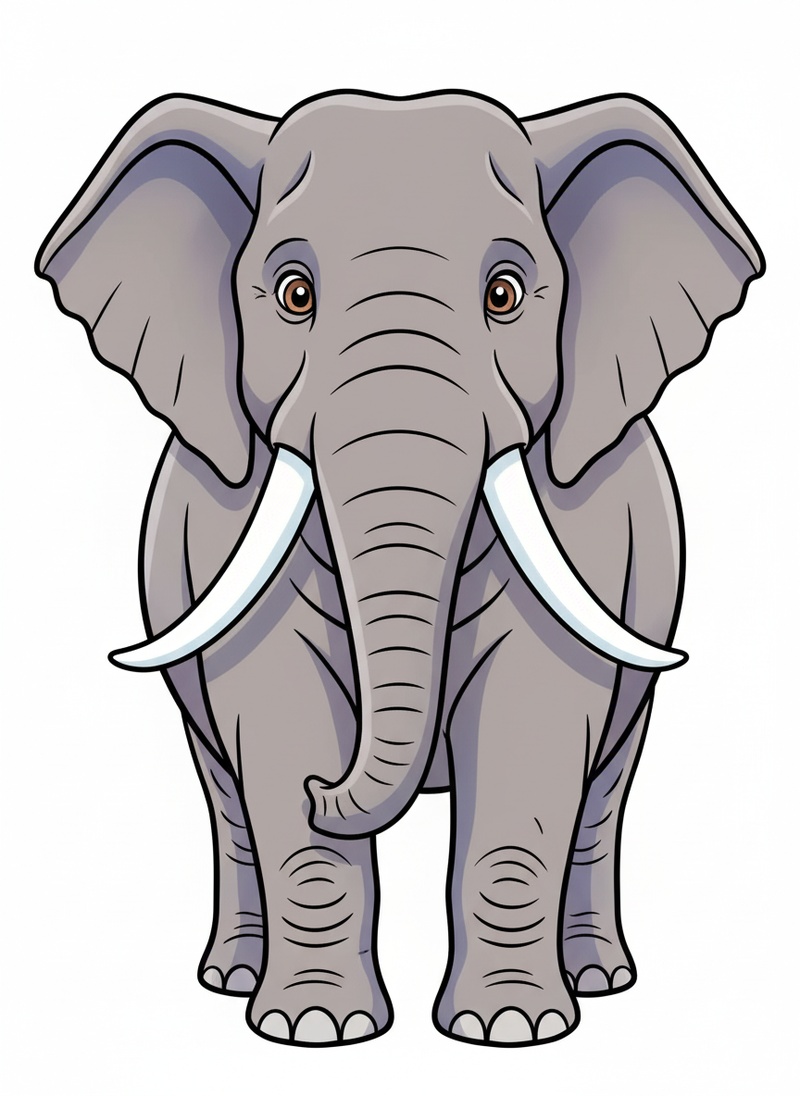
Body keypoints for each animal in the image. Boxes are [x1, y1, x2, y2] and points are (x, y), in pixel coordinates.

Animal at [36, 89, 763, 1047]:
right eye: (293, 294)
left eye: (505, 294)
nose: (327, 788)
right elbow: (276, 718)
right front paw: (315, 1030)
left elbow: (531, 729)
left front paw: (511, 1031)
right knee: (224, 789)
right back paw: (230, 980)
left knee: (606, 783)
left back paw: (601, 980)